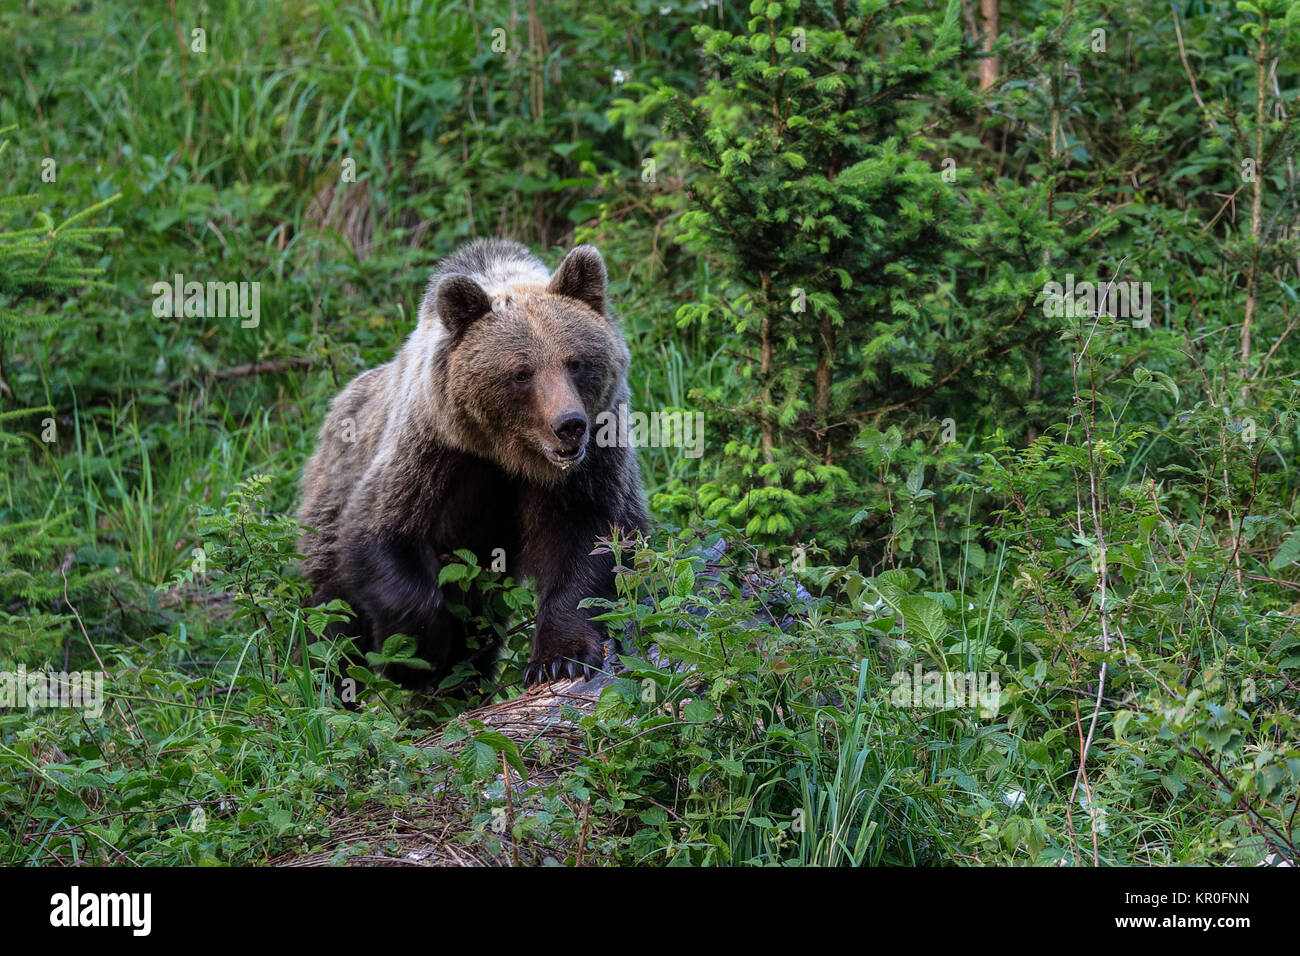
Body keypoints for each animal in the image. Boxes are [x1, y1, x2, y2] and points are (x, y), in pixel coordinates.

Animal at [301, 238, 650, 686]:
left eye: (575, 362)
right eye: (521, 372)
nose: (569, 425)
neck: (506, 454)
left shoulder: (593, 457)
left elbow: (591, 536)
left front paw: (559, 657)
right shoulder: (432, 449)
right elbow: (382, 533)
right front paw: (420, 656)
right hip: (331, 494)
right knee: (332, 619)